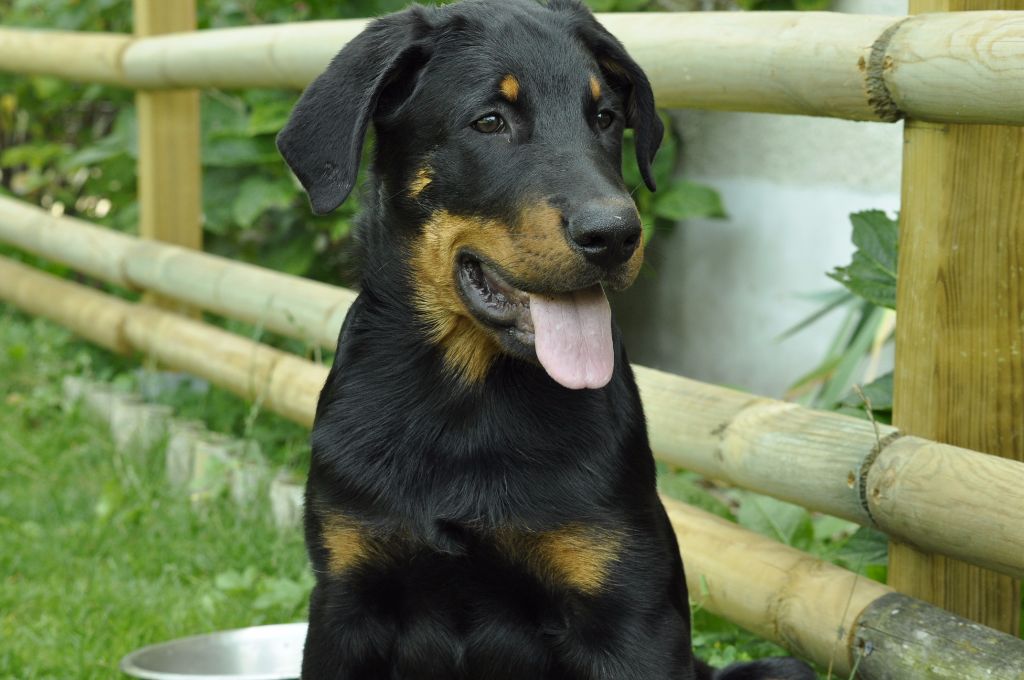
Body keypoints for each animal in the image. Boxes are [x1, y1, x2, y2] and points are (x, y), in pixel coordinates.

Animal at [278, 1, 815, 680]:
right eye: (490, 121)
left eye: (605, 117)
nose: (615, 235)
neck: (467, 401)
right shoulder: (345, 603)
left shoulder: (629, 613)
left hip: (777, 666)